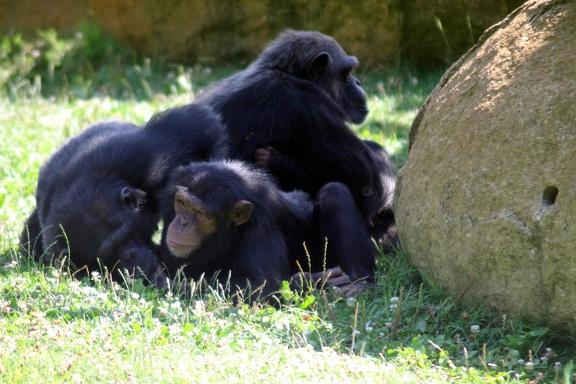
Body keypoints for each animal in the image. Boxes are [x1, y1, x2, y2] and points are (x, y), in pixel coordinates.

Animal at [159, 160, 374, 304]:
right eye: (182, 203)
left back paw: (360, 282)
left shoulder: (262, 222)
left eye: (200, 212)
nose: (183, 222)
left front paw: (309, 281)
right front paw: (311, 281)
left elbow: (261, 286)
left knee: (333, 193)